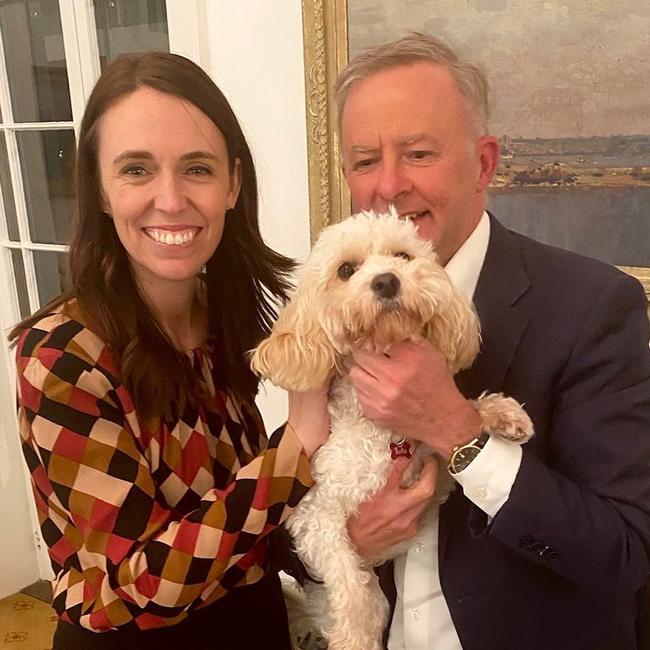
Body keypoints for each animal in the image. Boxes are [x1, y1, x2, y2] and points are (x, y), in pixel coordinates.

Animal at [251, 210, 528, 644]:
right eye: (346, 270)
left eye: (402, 256)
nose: (387, 280)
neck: (379, 429)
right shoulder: (316, 517)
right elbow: (352, 588)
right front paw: (353, 638)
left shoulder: (432, 475)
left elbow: (456, 419)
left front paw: (501, 413)